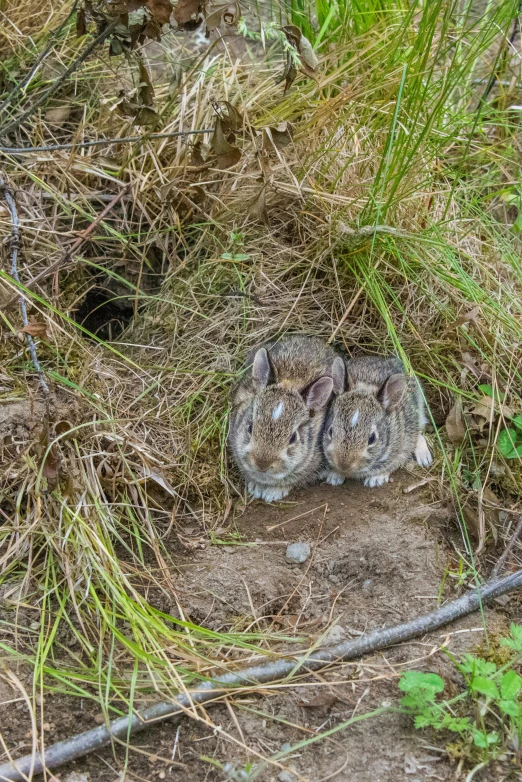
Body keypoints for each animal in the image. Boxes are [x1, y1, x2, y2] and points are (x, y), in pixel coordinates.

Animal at [229, 336, 338, 502]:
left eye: (293, 438)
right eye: (250, 427)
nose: (262, 464)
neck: (290, 382)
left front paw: (272, 493)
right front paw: (256, 487)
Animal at [320, 356, 430, 490]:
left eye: (372, 438)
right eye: (331, 431)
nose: (343, 464)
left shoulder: (402, 447)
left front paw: (376, 479)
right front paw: (335, 476)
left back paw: (424, 458)